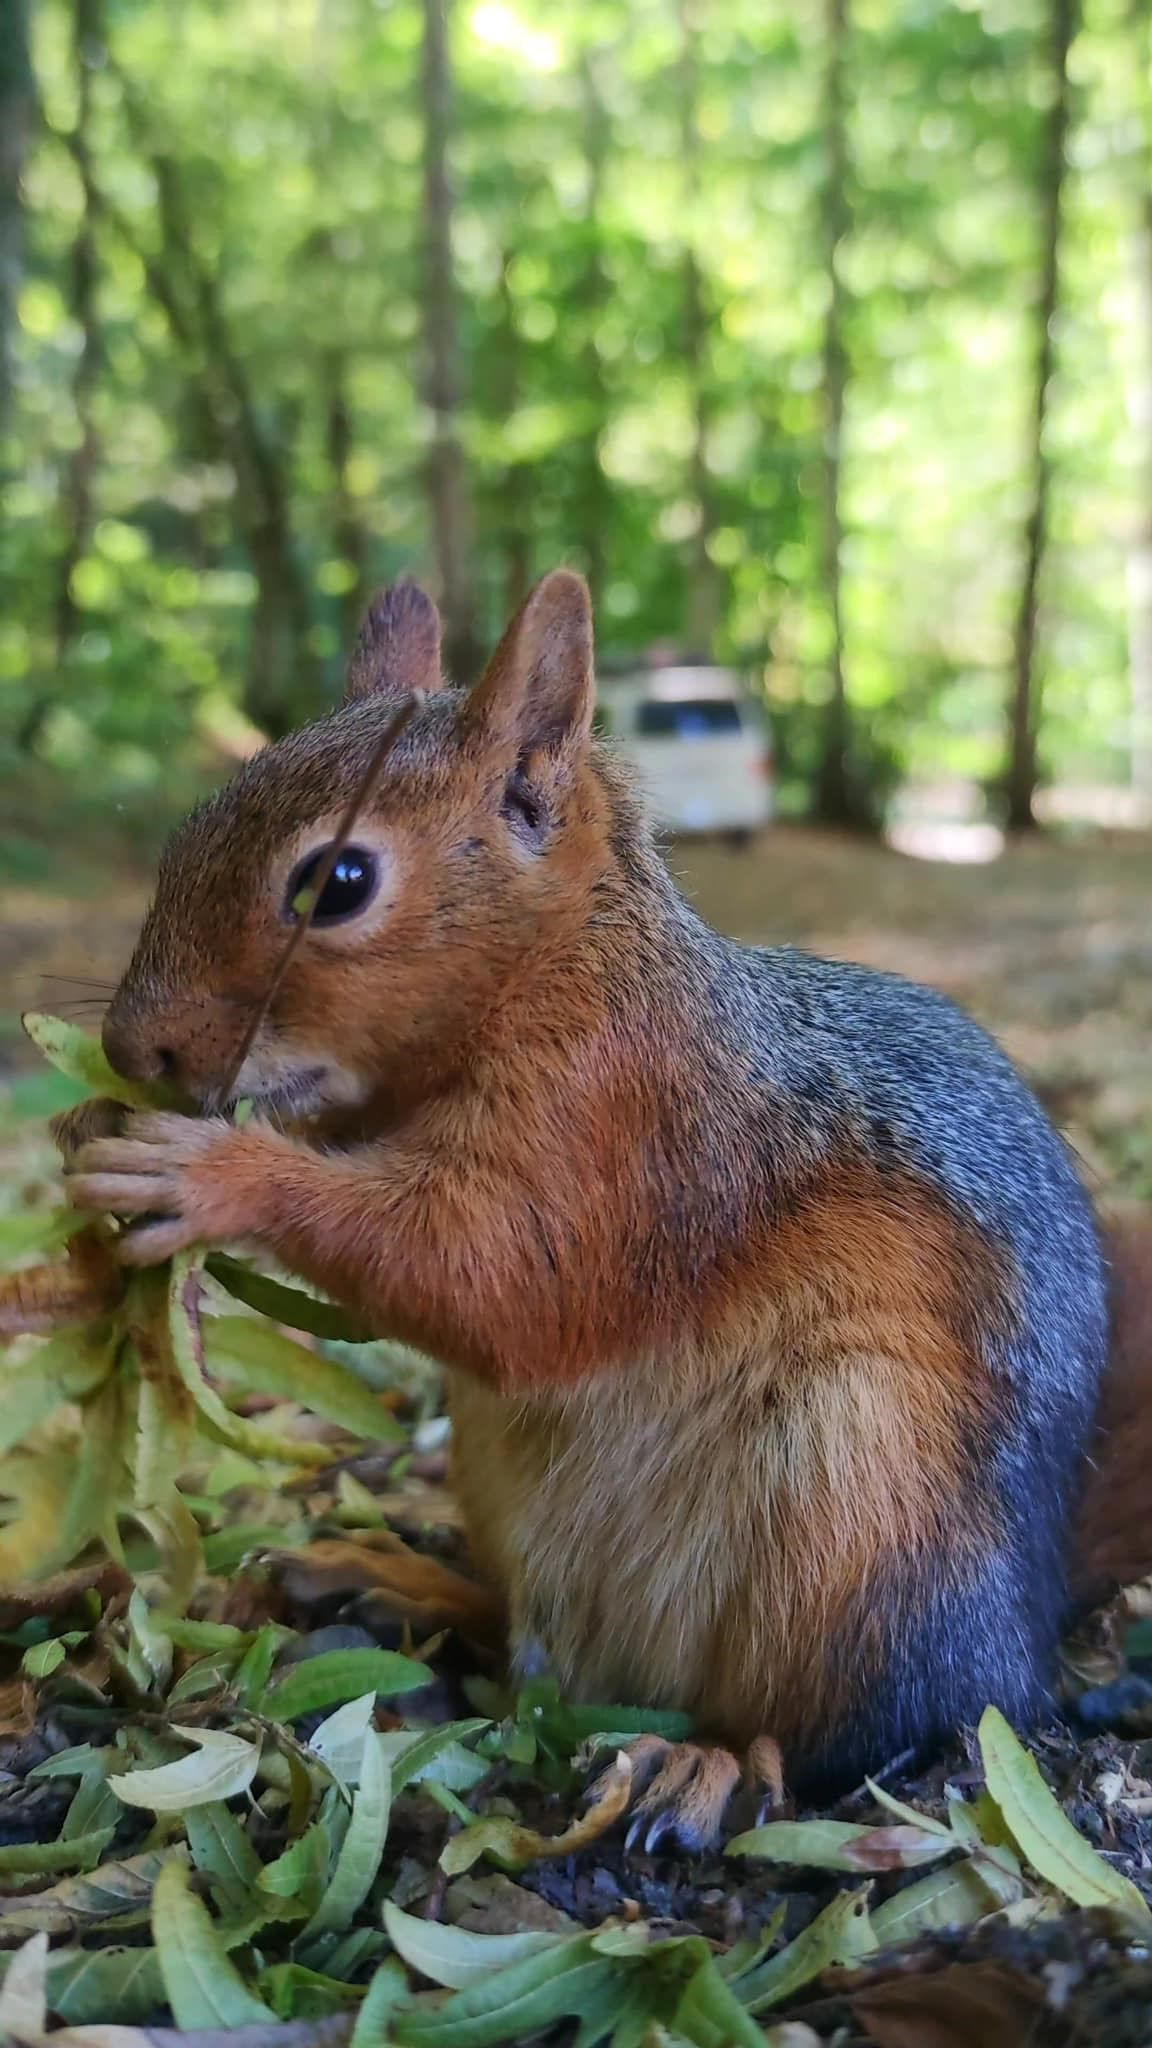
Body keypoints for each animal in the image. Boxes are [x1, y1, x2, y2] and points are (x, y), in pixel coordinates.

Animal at [60, 569, 1147, 1851]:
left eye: (337, 883)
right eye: (186, 829)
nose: (132, 1046)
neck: (558, 967)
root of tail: (1021, 1633)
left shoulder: (630, 1130)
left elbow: (492, 1273)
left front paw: (202, 1170)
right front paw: (90, 1124)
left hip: (858, 1520)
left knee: (851, 1728)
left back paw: (707, 1764)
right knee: (528, 1637)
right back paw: (397, 1576)